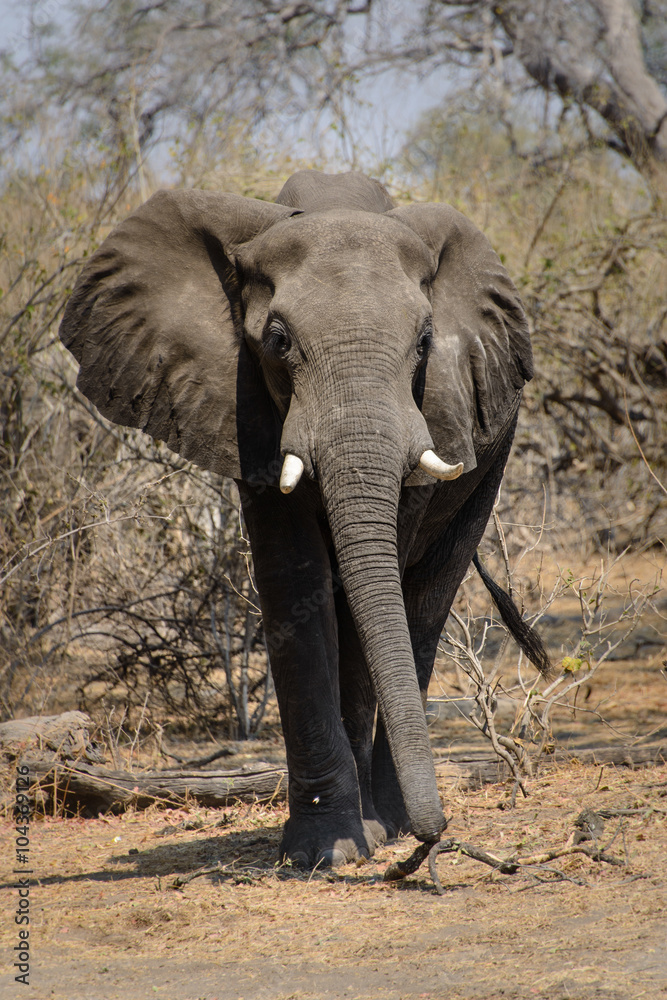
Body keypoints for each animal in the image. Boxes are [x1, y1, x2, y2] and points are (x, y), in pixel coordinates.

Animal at [59, 169, 549, 867]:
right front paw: (326, 851)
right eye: (278, 341)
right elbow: (294, 576)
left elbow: (372, 580)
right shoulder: (240, 402)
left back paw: (389, 818)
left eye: (426, 342)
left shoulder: (434, 403)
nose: (434, 838)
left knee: (426, 596)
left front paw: (364, 837)